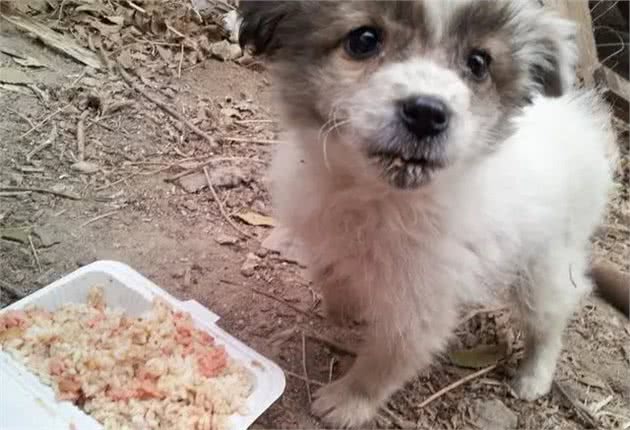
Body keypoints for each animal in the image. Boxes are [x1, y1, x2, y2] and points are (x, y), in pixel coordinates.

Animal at [241, 0, 624, 426]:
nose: (427, 113)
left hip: (545, 265)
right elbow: (331, 275)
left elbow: (384, 360)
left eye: (478, 63)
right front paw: (345, 310)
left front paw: (349, 401)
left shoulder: (419, 307)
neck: (377, 196)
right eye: (363, 40)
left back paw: (534, 376)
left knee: (553, 317)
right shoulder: (325, 233)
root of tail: (581, 123)